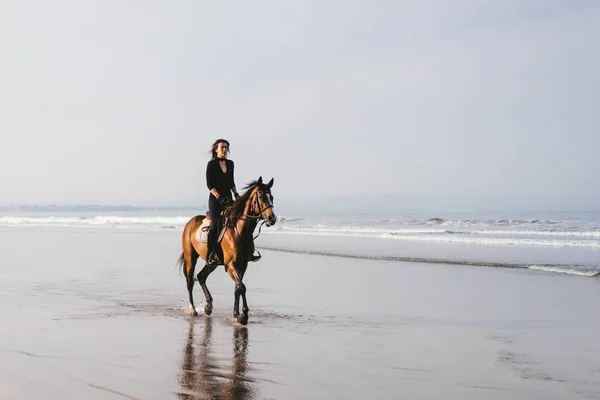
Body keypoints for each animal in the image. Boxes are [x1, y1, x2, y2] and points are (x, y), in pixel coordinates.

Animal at [175, 177, 276, 324]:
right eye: (261, 196)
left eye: (272, 197)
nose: (271, 219)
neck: (240, 231)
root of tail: (190, 222)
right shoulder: (230, 265)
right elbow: (241, 287)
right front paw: (243, 316)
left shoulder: (243, 265)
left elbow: (238, 287)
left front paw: (237, 313)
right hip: (190, 257)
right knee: (190, 281)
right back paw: (193, 309)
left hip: (213, 262)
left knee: (201, 276)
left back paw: (208, 307)